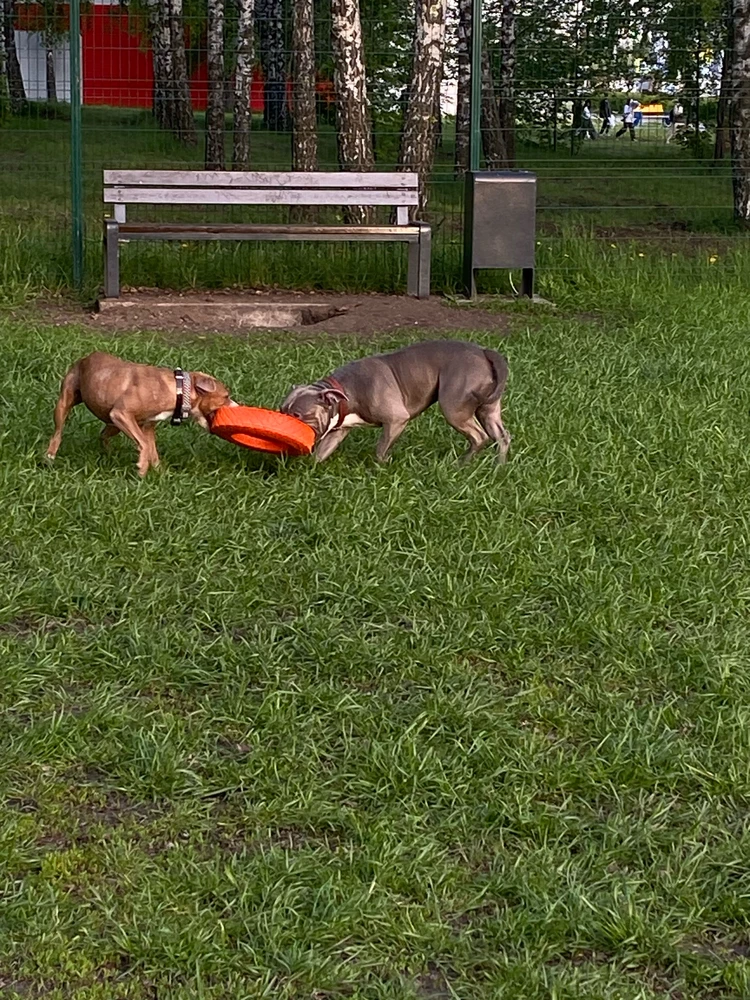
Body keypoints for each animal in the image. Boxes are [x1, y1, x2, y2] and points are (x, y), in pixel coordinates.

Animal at [45, 352, 234, 476]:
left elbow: (152, 449)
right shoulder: (122, 414)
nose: (236, 405)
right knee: (58, 432)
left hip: (113, 424)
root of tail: (86, 358)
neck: (179, 389)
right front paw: (142, 468)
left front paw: (159, 473)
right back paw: (50, 456)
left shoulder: (146, 426)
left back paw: (108, 454)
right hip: (65, 404)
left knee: (103, 435)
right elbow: (144, 444)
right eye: (226, 396)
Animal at [280, 340, 516, 464]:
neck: (345, 390)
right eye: (282, 410)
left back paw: (461, 465)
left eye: (298, 415)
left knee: (479, 436)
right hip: (488, 410)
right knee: (501, 436)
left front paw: (382, 466)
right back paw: (498, 466)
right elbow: (321, 453)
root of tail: (484, 352)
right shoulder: (338, 431)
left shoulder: (396, 420)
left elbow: (380, 449)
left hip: (454, 407)